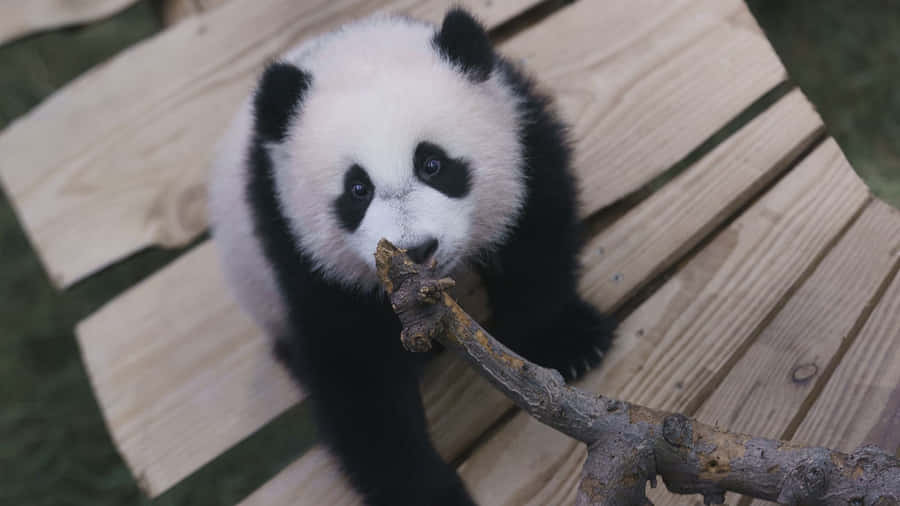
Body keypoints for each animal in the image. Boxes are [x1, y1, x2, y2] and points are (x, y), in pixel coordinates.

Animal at [208, 8, 616, 506]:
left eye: (433, 164)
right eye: (357, 189)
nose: (416, 249)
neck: (354, 48)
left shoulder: (519, 127)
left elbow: (534, 233)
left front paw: (568, 341)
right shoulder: (293, 244)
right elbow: (356, 367)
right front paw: (426, 490)